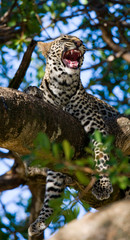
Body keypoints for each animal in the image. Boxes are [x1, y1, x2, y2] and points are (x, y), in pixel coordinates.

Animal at [25, 35, 127, 236]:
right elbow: (53, 190)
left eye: (80, 40)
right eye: (65, 38)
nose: (79, 43)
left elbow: (101, 157)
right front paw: (41, 221)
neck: (62, 85)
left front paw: (103, 185)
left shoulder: (97, 127)